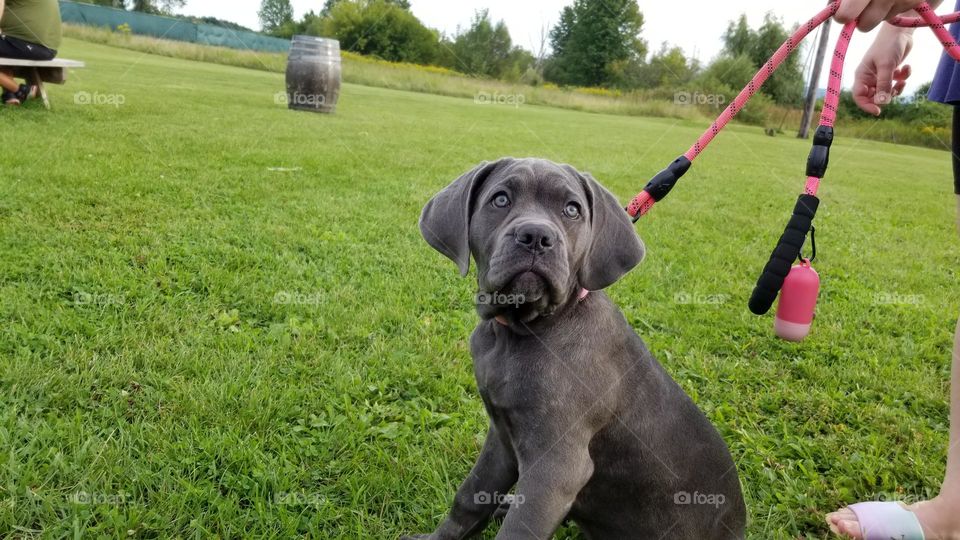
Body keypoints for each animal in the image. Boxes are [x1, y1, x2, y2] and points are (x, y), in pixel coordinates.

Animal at [406, 158, 752, 536]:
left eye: (572, 209)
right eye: (500, 199)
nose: (536, 237)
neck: (525, 329)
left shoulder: (558, 466)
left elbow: (519, 528)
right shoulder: (501, 437)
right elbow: (470, 495)